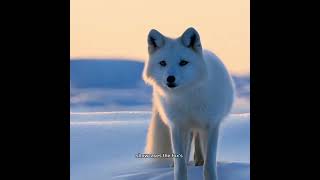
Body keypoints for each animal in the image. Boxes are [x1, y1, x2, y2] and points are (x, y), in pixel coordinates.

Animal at [142, 27, 235, 180]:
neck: (186, 98)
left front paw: (209, 173)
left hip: (200, 126)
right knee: (188, 145)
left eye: (183, 62)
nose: (170, 78)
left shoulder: (211, 125)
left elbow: (209, 165)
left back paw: (199, 160)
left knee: (197, 140)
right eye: (163, 63)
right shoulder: (177, 127)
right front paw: (179, 172)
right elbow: (180, 165)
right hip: (186, 128)